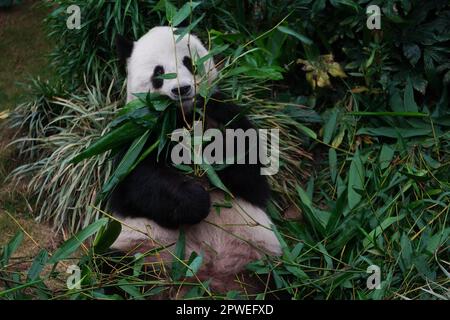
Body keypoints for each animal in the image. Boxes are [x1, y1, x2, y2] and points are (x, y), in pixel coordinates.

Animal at [109, 26, 282, 294]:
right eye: (158, 72)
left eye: (188, 62)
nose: (182, 90)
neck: (183, 118)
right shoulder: (136, 136)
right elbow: (136, 182)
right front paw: (197, 200)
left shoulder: (227, 112)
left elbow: (251, 176)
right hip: (137, 249)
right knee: (113, 274)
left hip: (263, 257)